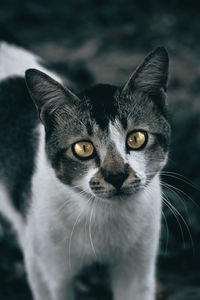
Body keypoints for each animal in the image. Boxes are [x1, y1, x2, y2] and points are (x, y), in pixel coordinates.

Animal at [0, 41, 170, 300]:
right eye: (83, 148)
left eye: (137, 138)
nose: (116, 176)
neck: (104, 214)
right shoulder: (46, 269)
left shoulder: (138, 266)